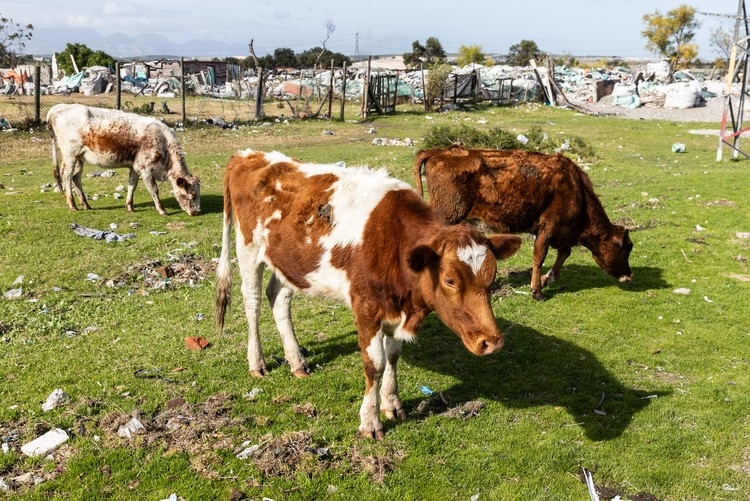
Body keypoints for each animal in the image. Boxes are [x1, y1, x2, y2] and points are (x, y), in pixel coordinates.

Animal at [46, 103, 200, 216]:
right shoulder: (144, 167)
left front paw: (130, 207)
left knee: (76, 177)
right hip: (70, 155)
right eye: (192, 195)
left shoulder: (135, 167)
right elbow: (154, 189)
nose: (197, 212)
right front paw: (162, 210)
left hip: (79, 157)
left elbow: (132, 185)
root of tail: (57, 108)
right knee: (67, 176)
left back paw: (86, 204)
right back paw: (72, 205)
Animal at [215, 149, 522, 439]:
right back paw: (257, 362)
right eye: (449, 280)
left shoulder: (395, 306)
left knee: (278, 298)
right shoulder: (366, 306)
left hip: (287, 261)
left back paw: (297, 361)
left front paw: (392, 404)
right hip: (248, 249)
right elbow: (375, 363)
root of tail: (249, 155)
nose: (492, 342)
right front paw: (370, 421)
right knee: (252, 302)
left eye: (491, 277)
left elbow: (393, 356)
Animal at [414, 145, 633, 301]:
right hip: (447, 215)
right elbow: (540, 256)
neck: (576, 190)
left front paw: (547, 279)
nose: (629, 276)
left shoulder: (562, 232)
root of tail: (439, 151)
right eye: (625, 249)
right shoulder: (547, 226)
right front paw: (537, 291)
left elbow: (565, 252)